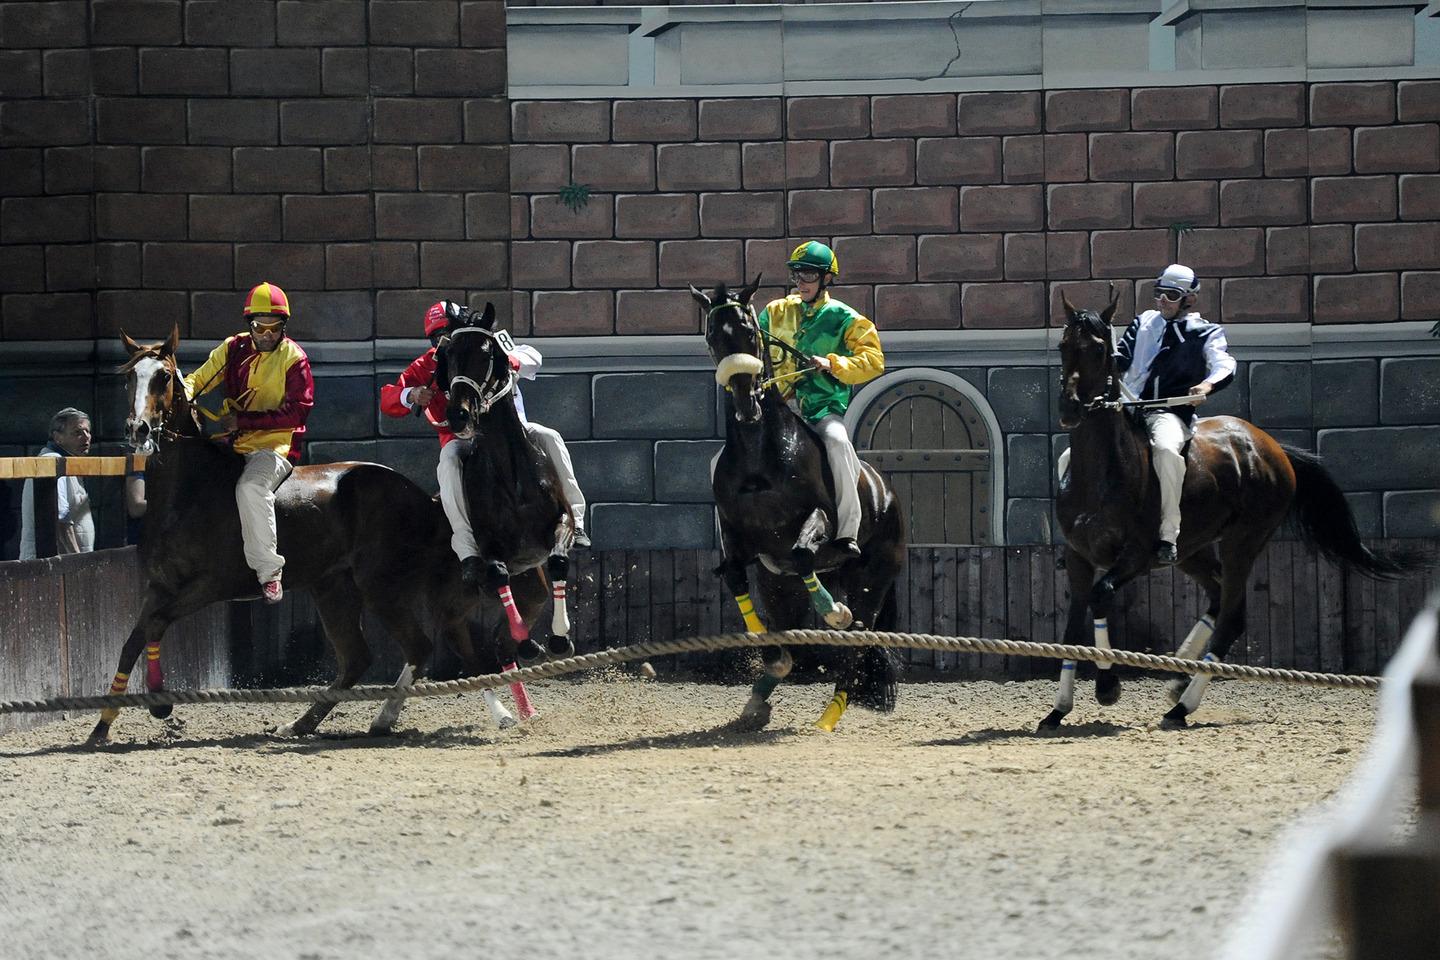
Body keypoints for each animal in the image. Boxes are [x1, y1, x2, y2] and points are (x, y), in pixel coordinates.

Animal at [102, 326, 550, 742]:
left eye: (163, 376)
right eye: (129, 377)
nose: (138, 429)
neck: (192, 488)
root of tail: (423, 497)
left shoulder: (211, 584)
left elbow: (157, 624)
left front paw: (159, 703)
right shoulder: (160, 584)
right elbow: (132, 639)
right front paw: (102, 726)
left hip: (379, 583)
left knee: (416, 646)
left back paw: (396, 717)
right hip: (333, 585)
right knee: (358, 658)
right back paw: (304, 723)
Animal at [434, 303, 576, 664]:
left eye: (486, 353)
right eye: (449, 354)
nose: (458, 414)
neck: (511, 477)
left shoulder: (561, 522)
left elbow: (558, 560)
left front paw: (560, 638)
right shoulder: (489, 543)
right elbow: (497, 573)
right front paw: (526, 639)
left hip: (532, 585)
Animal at [691, 282, 904, 731]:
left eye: (749, 332)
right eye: (713, 336)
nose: (746, 403)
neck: (759, 456)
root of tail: (887, 494)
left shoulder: (817, 521)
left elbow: (805, 552)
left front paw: (832, 611)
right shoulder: (741, 542)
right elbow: (734, 577)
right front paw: (772, 659)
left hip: (871, 581)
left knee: (858, 642)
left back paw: (828, 717)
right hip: (780, 586)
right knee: (790, 623)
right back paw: (759, 700)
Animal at [1054, 290, 1411, 728]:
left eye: (1099, 349)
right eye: (1064, 345)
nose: (1070, 408)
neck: (1103, 471)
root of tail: (1272, 448)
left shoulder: (1134, 556)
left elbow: (1101, 597)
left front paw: (1107, 687)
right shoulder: (1078, 556)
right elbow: (1072, 627)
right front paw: (1057, 710)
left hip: (1243, 541)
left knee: (1232, 615)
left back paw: (1181, 705)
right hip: (1193, 550)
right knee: (1217, 597)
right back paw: (1179, 673)